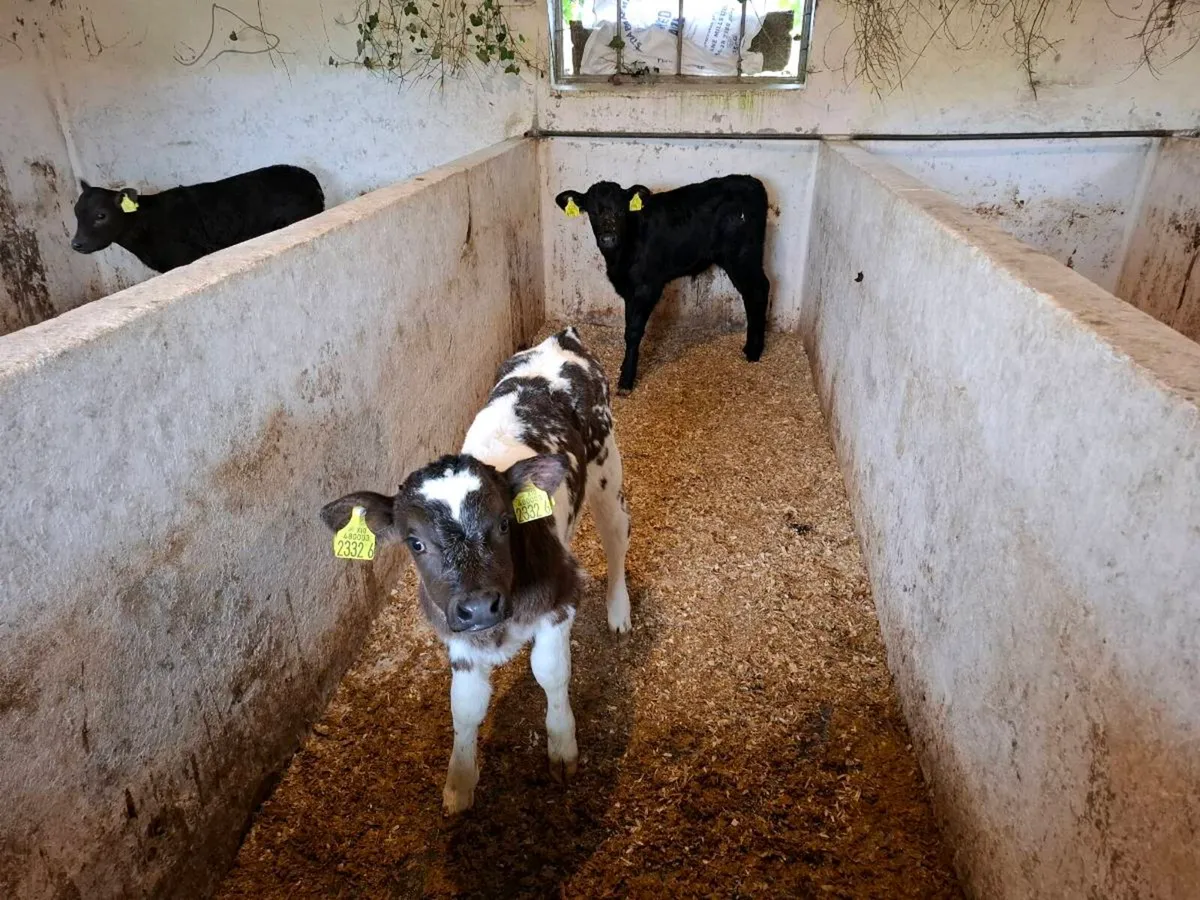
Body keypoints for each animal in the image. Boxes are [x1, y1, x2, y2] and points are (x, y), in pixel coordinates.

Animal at [320, 327, 632, 814]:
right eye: (415, 542)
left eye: (504, 523)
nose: (481, 607)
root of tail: (559, 337)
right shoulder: (455, 635)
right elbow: (464, 707)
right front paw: (460, 782)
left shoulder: (560, 602)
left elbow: (550, 672)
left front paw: (562, 747)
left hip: (605, 468)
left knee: (617, 532)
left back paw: (619, 612)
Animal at [555, 174, 771, 393]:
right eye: (592, 212)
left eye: (621, 210)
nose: (608, 239)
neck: (619, 258)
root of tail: (751, 181)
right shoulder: (629, 289)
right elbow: (627, 326)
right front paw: (624, 367)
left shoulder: (647, 287)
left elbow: (633, 332)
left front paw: (626, 380)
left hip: (743, 255)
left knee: (758, 290)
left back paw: (754, 351)